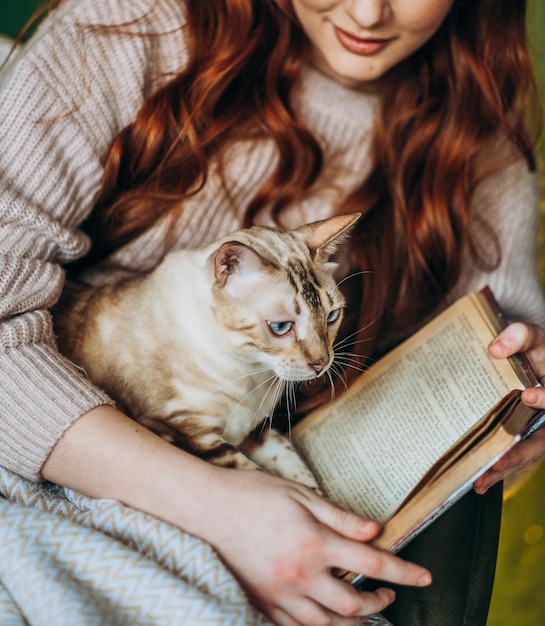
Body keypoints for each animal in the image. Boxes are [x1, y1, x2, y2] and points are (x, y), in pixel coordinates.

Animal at [54, 211, 362, 488]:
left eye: (332, 316)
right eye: (280, 327)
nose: (321, 363)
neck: (249, 370)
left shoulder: (253, 429)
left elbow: (296, 470)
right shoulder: (183, 430)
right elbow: (258, 477)